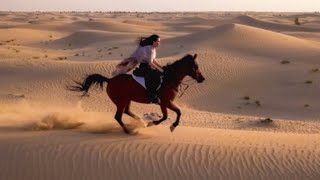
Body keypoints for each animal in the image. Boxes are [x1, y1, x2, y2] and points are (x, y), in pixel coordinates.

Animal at [69, 53, 206, 134]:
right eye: (194, 67)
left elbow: (173, 113)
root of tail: (110, 80)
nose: (202, 79)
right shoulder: (165, 102)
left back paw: (140, 122)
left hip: (127, 100)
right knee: (118, 116)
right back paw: (129, 131)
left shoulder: (165, 103)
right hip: (121, 101)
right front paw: (160, 125)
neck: (169, 78)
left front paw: (152, 124)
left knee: (126, 111)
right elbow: (173, 114)